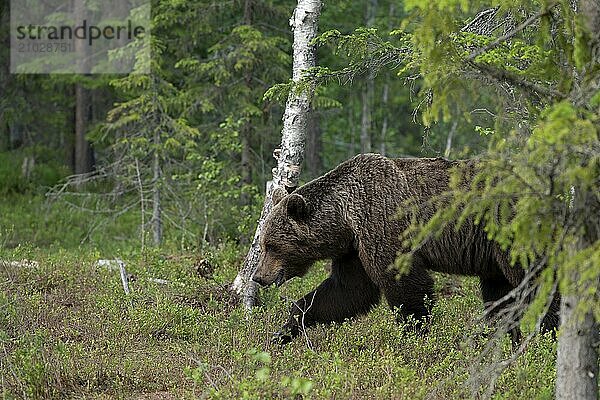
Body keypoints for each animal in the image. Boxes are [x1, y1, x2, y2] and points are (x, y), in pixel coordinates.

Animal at [251, 153, 560, 344]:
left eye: (271, 245)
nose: (259, 276)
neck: (345, 217)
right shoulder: (355, 248)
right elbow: (347, 291)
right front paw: (285, 330)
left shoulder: (381, 225)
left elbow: (405, 284)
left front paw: (415, 335)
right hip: (491, 253)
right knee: (499, 297)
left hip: (511, 231)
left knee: (536, 281)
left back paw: (548, 335)